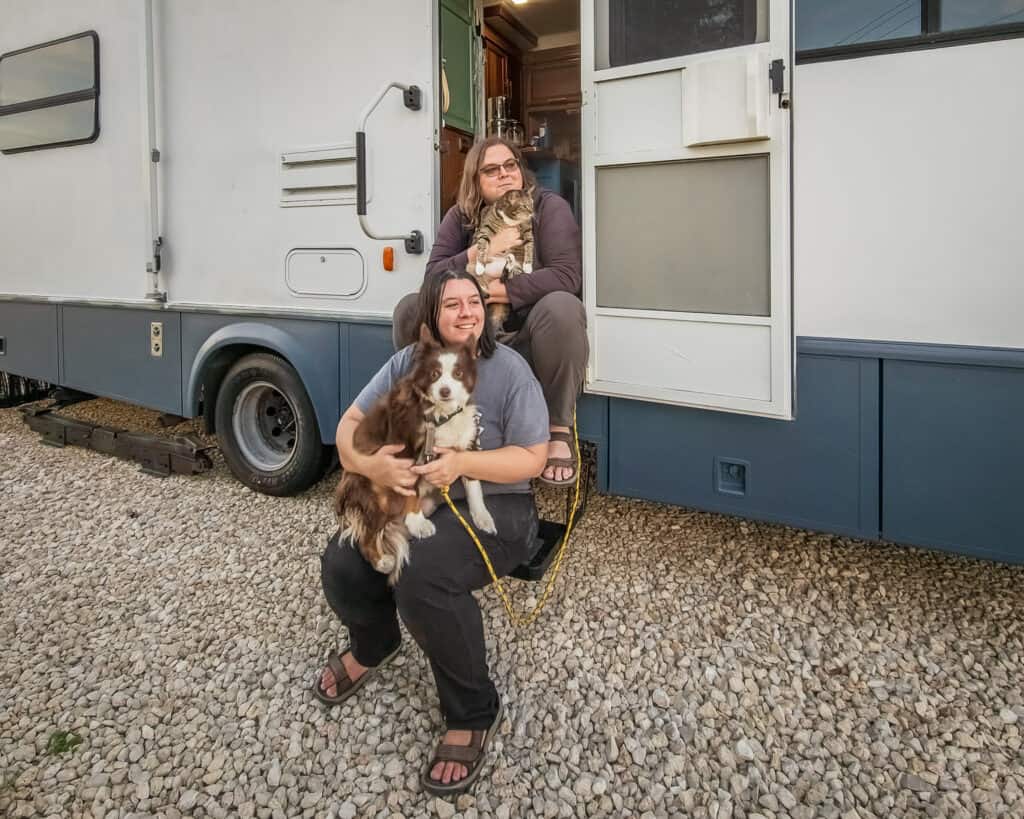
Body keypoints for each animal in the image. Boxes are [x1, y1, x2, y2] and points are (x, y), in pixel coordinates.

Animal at [331, 323, 495, 585]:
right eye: (434, 374)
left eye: (458, 374)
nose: (445, 391)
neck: (441, 415)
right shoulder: (404, 450)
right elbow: (411, 488)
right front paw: (418, 522)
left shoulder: (466, 445)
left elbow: (474, 486)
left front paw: (482, 517)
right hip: (379, 495)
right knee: (366, 536)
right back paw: (382, 561)